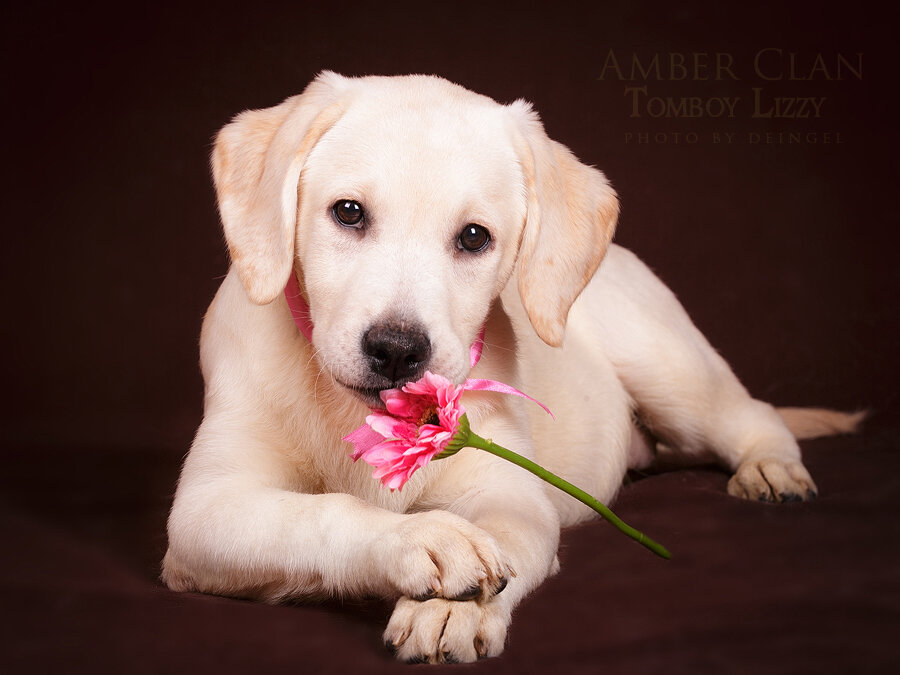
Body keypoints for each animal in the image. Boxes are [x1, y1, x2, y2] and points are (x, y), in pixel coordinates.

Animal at [162, 71, 856, 664]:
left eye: (474, 237)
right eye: (348, 212)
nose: (396, 349)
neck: (352, 416)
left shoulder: (514, 493)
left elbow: (510, 539)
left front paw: (455, 610)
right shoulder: (204, 513)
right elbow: (316, 514)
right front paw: (419, 538)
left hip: (671, 373)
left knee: (751, 415)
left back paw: (772, 468)